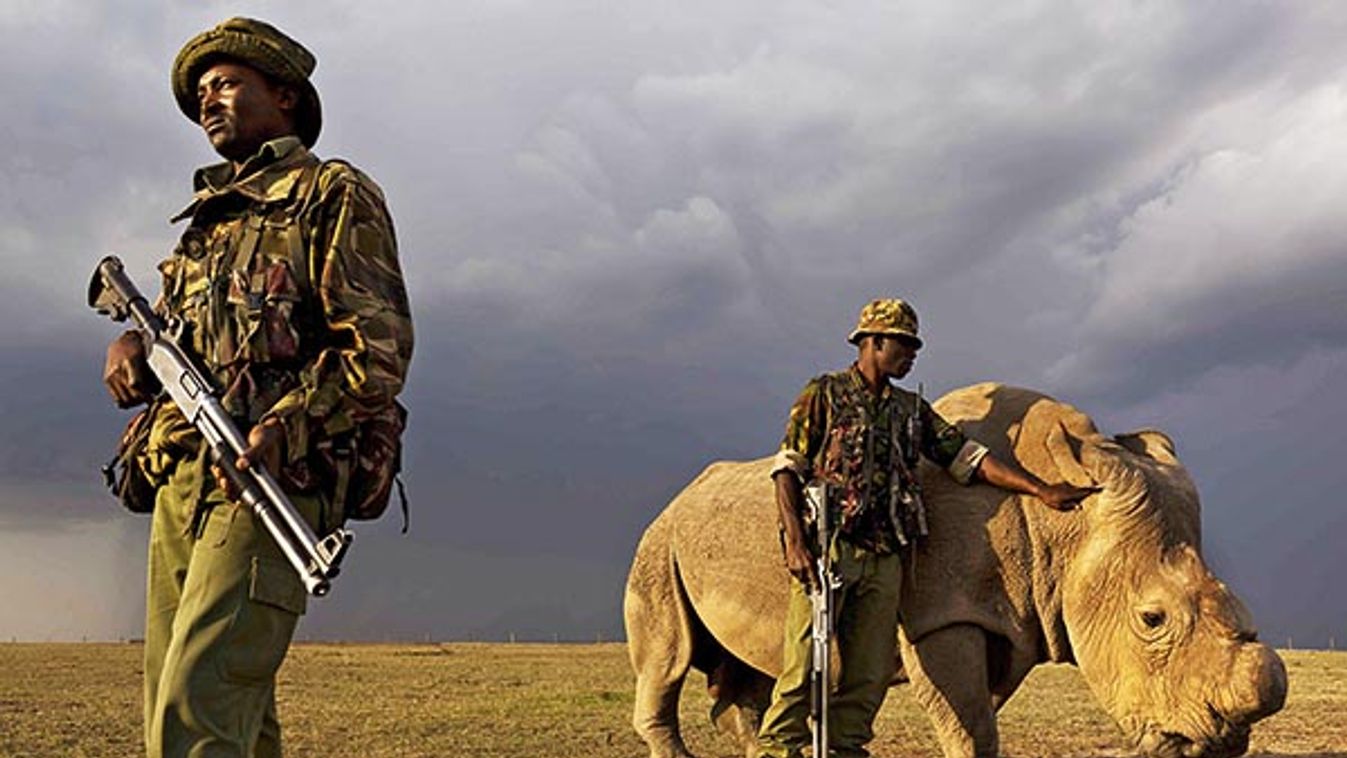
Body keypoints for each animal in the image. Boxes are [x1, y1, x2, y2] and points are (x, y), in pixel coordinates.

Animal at [625, 385, 1287, 758]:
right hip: (657, 542)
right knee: (670, 657)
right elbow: (970, 729)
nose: (1221, 743)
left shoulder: (1010, 619)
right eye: (1152, 619)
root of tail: (675, 501)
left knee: (753, 674)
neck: (1062, 528)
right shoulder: (940, 616)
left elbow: (979, 719)